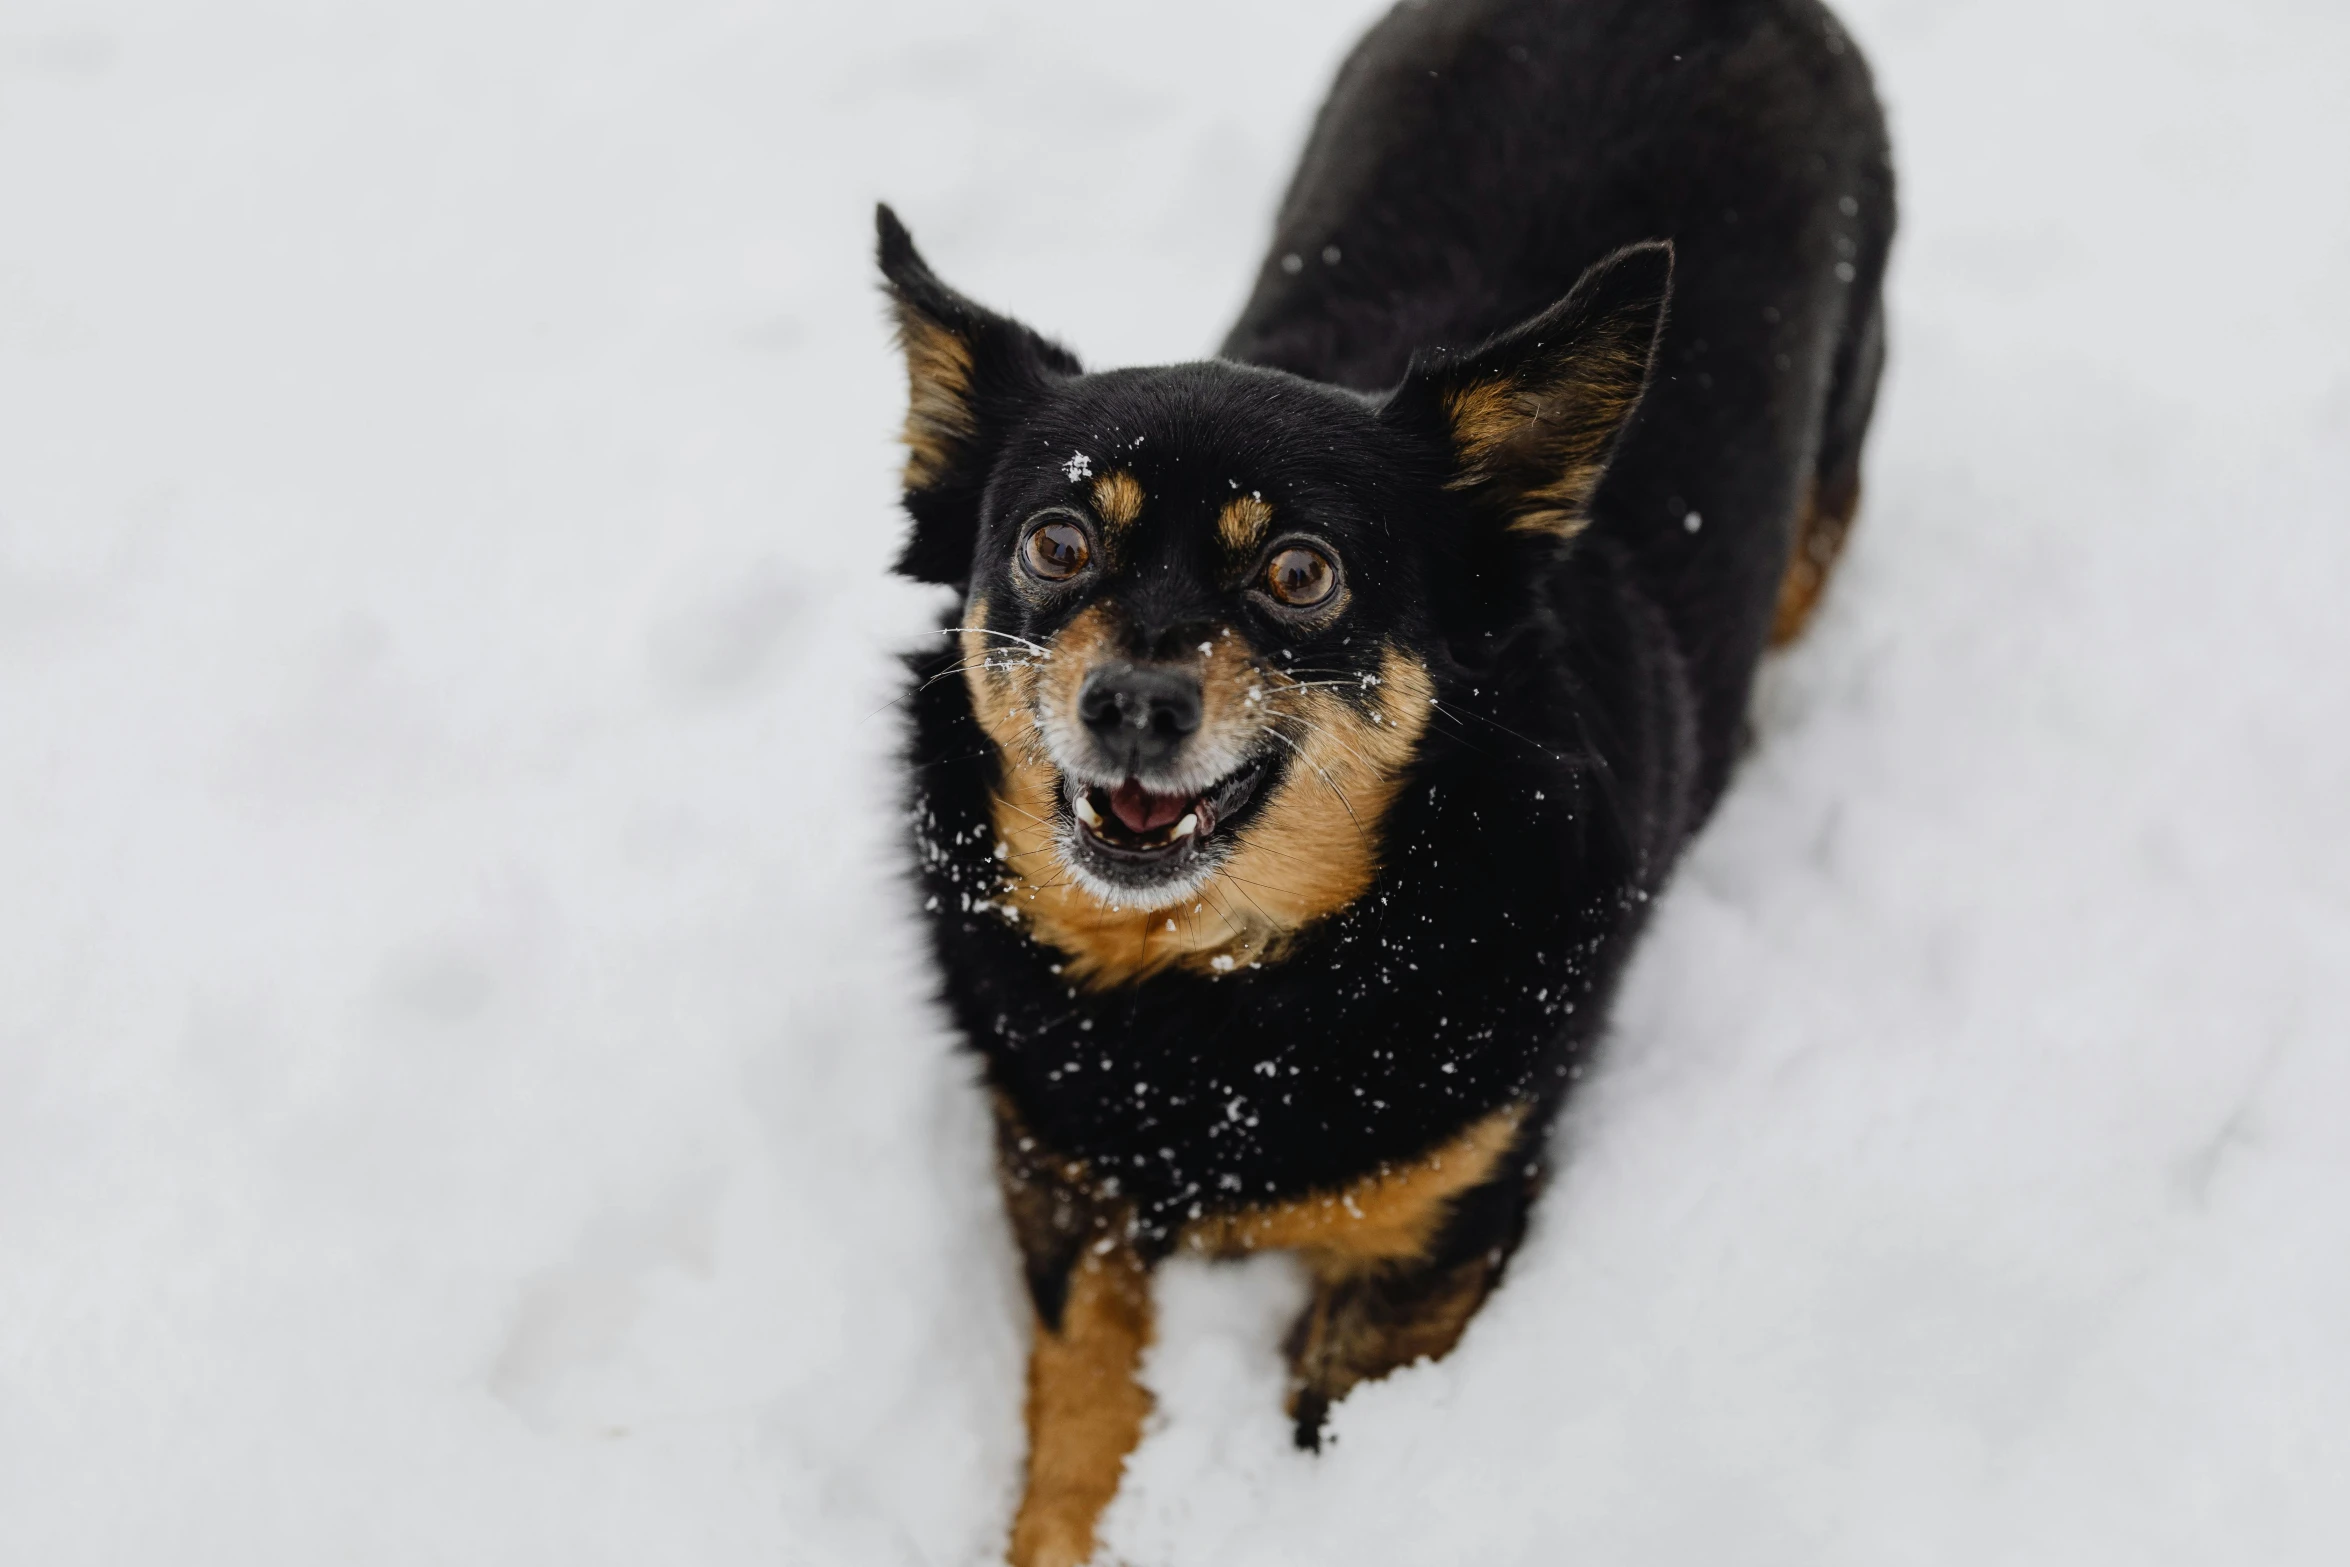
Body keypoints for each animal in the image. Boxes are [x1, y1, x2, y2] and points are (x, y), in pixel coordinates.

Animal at [883, 0, 1889, 1559]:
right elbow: (1081, 1408)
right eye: (1055, 542)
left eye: (1300, 572)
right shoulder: (1058, 1172)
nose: (1130, 705)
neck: (1216, 995)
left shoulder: (1435, 1241)